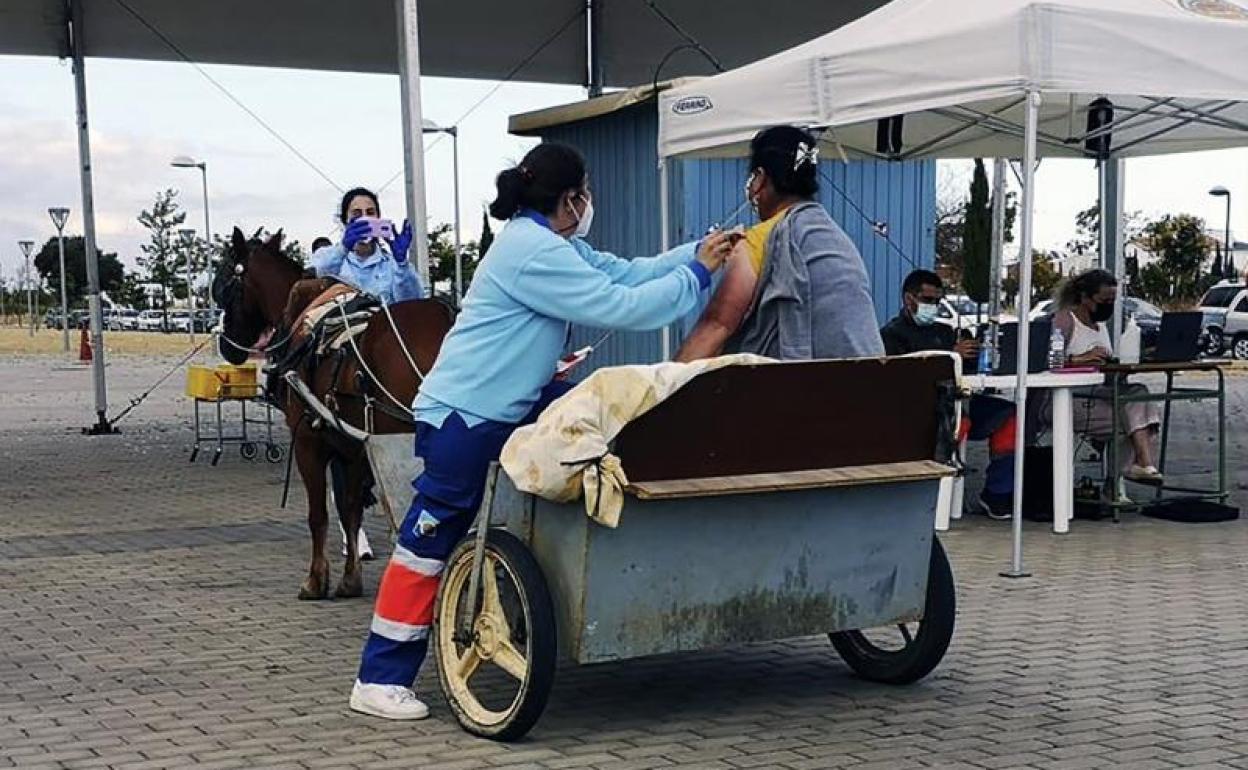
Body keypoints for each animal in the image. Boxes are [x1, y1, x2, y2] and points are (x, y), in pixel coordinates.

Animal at [215, 224, 459, 596]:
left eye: (227, 283)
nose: (227, 347)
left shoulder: (308, 443)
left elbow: (319, 514)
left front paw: (316, 579)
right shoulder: (355, 449)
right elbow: (350, 509)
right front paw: (350, 577)